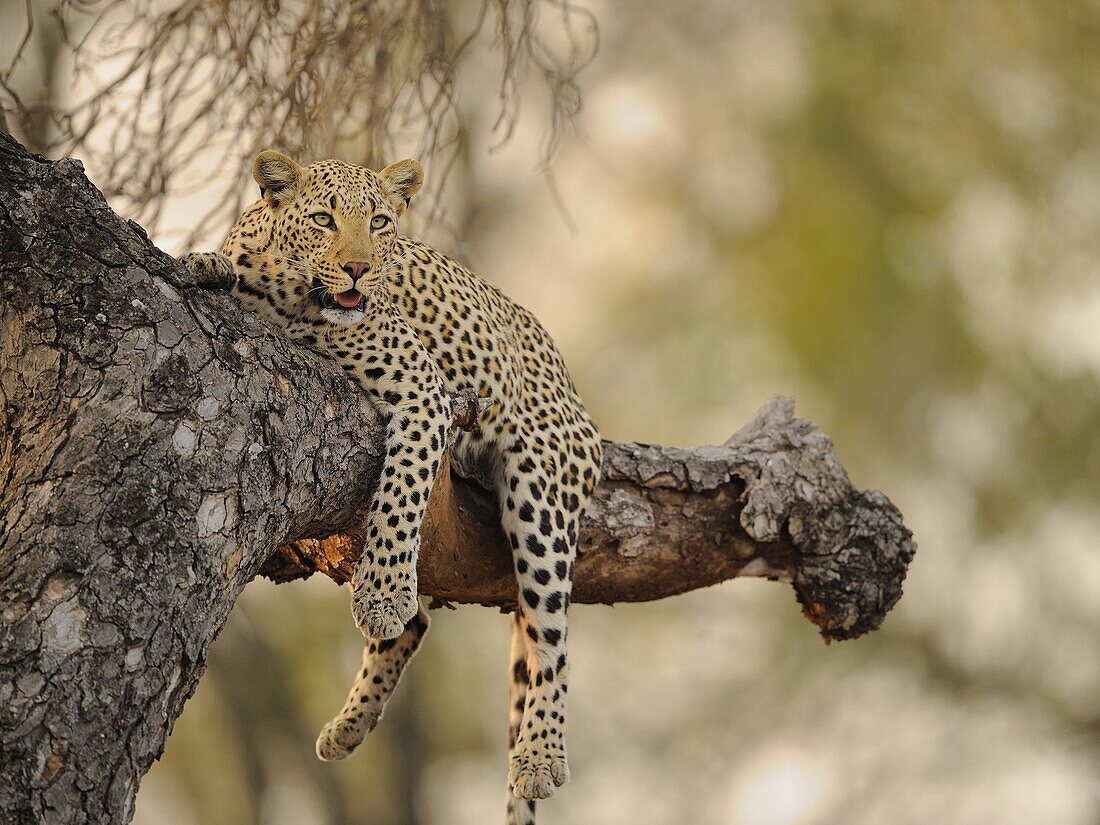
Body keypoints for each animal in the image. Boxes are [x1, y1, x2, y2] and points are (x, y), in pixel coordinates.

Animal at [184, 150, 607, 825]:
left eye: (380, 222)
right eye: (325, 220)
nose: (359, 267)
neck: (291, 304)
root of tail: (576, 397)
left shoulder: (425, 392)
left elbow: (402, 491)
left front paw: (381, 594)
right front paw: (203, 265)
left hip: (543, 491)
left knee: (553, 638)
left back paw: (540, 755)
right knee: (420, 625)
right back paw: (347, 728)